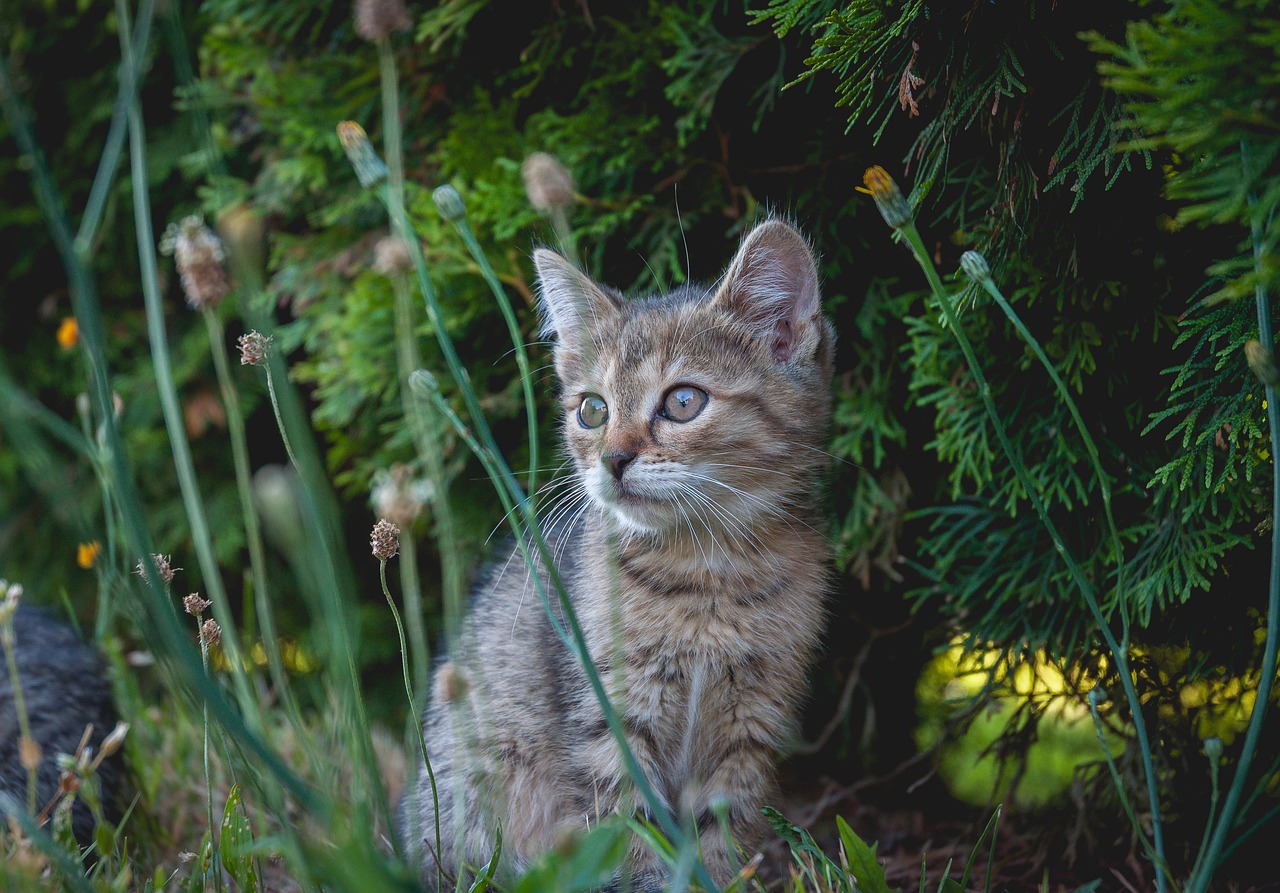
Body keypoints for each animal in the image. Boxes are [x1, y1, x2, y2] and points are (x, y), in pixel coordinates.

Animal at [401, 216, 839, 885]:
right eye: (592, 409)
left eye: (683, 401)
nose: (612, 459)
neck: (708, 571)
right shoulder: (608, 718)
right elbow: (629, 832)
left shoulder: (753, 722)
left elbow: (720, 834)